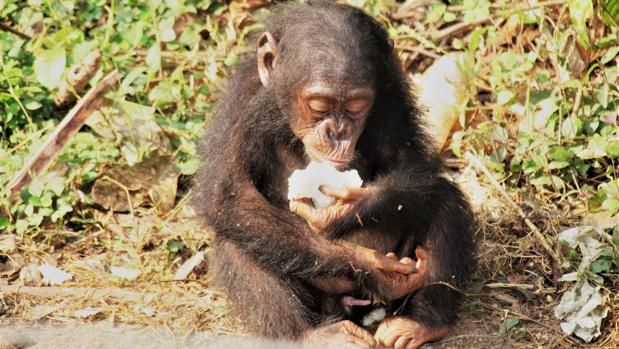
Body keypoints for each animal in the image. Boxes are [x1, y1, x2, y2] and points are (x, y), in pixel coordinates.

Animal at [194, 1, 474, 346]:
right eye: (319, 105)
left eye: (356, 106)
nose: (337, 132)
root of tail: (355, 305)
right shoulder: (241, 103)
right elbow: (231, 195)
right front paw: (369, 266)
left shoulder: (391, 95)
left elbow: (412, 163)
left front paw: (349, 208)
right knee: (236, 243)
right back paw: (315, 334)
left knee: (443, 199)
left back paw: (420, 321)